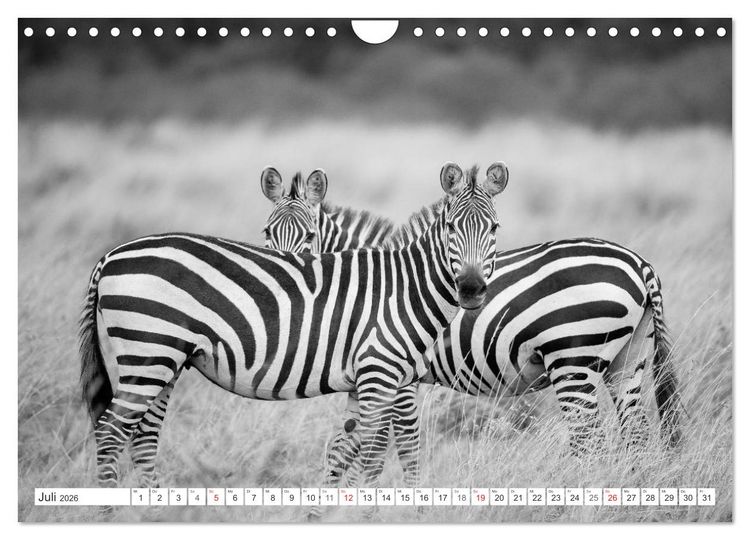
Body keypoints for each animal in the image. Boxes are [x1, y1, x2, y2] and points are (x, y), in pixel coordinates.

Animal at [79, 162, 509, 490]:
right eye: (451, 228)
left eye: (494, 229)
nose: (471, 290)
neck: (405, 287)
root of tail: (111, 255)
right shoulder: (382, 376)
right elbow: (378, 454)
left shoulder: (369, 382)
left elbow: (344, 450)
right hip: (148, 354)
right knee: (111, 433)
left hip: (160, 362)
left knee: (143, 438)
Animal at [260, 169, 682, 515]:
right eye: (267, 234)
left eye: (310, 236)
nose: (282, 281)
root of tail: (639, 263)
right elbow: (348, 450)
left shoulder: (398, 379)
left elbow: (389, 450)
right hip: (628, 361)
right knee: (636, 435)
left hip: (573, 361)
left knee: (590, 442)